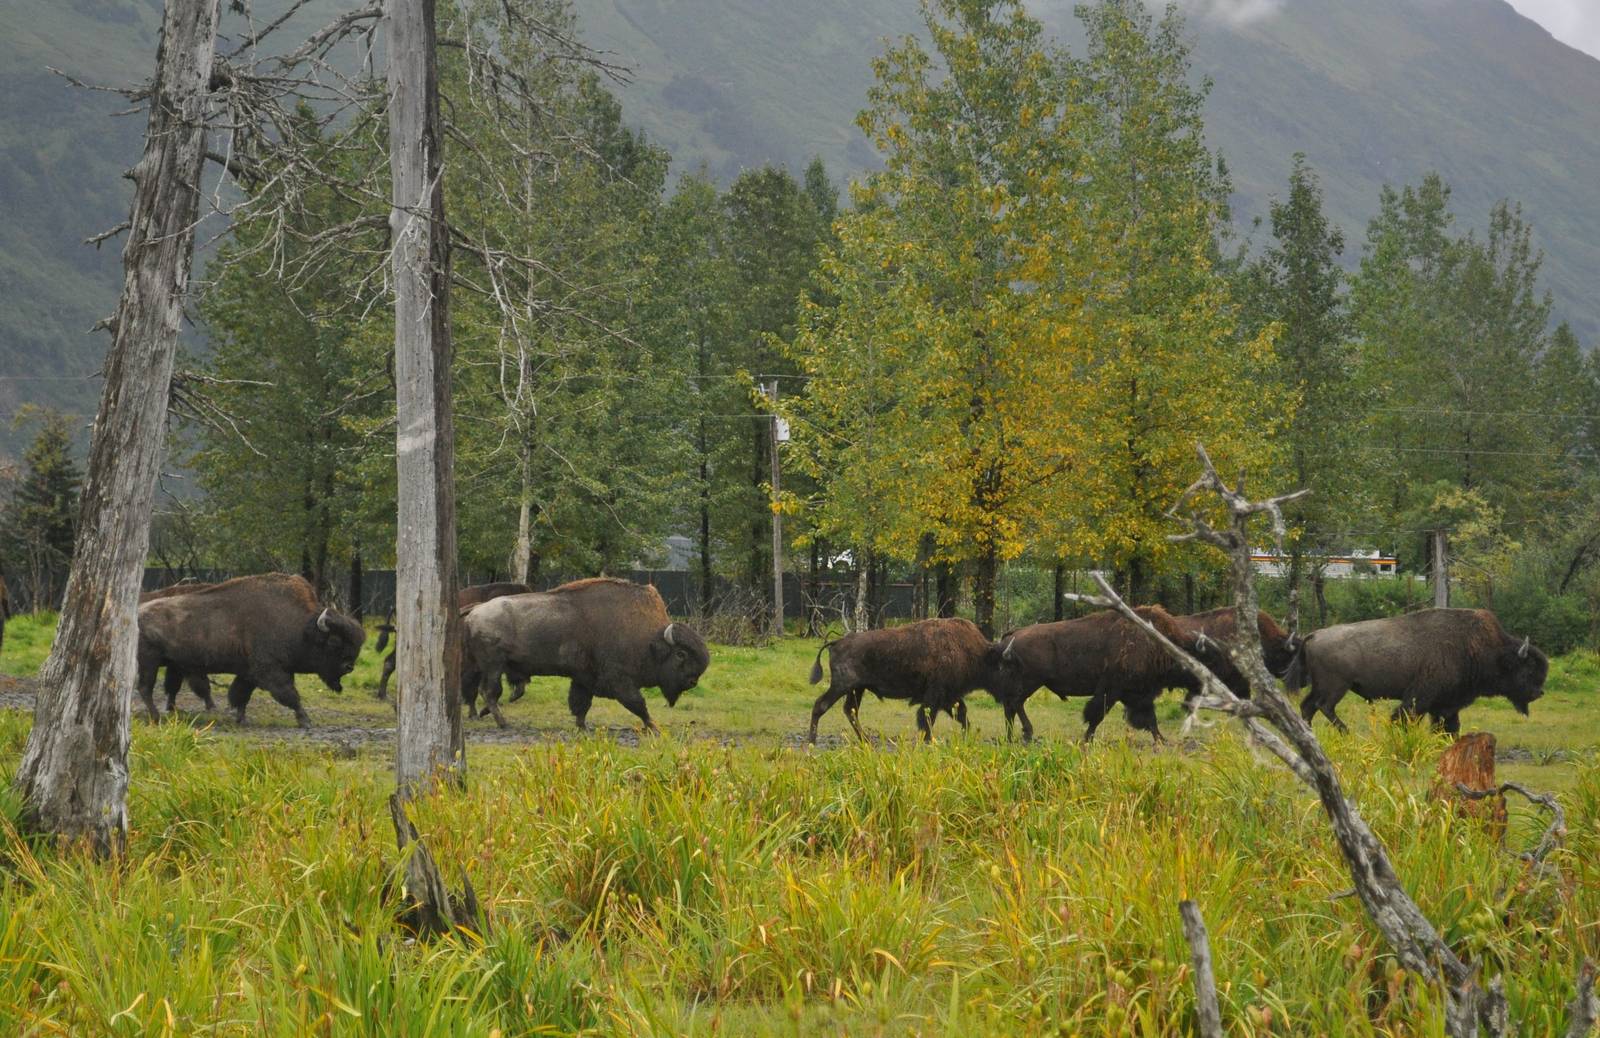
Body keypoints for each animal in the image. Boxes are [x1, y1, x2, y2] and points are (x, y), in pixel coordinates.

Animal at [136, 573, 366, 726]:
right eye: (334, 642)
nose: (349, 667)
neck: (299, 625)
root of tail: (137, 612)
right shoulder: (271, 671)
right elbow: (290, 695)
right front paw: (306, 721)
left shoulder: (249, 673)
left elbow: (240, 695)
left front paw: (241, 719)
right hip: (149, 662)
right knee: (145, 688)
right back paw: (156, 717)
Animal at [463, 577, 709, 731]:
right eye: (681, 654)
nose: (693, 681)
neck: (649, 640)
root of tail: (475, 612)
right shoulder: (620, 680)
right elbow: (637, 704)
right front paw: (654, 727)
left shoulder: (584, 678)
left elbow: (581, 704)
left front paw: (583, 727)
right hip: (494, 665)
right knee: (490, 692)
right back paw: (503, 723)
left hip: (490, 666)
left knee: (484, 691)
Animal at [807, 617, 995, 744]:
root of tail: (837, 642)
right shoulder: (937, 695)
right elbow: (928, 717)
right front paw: (928, 740)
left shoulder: (950, 696)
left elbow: (961, 713)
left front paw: (966, 736)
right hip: (841, 686)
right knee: (821, 705)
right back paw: (812, 741)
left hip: (856, 688)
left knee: (850, 710)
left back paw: (866, 740)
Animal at [989, 606, 1199, 743]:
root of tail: (1014, 633)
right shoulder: (1112, 690)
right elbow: (1097, 714)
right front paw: (1087, 738)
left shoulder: (1137, 694)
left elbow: (1150, 718)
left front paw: (1161, 739)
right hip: (1030, 682)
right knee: (1015, 703)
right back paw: (1027, 734)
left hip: (1025, 683)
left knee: (1011, 706)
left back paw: (1012, 737)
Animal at [1290, 607, 1548, 735]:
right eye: (1527, 671)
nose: (1538, 693)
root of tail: (1314, 634)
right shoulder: (1420, 697)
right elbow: (1404, 717)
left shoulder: (1446, 704)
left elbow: (1449, 726)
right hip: (1336, 687)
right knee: (1324, 706)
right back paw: (1345, 731)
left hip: (1321, 686)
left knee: (1308, 706)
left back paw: (1308, 732)